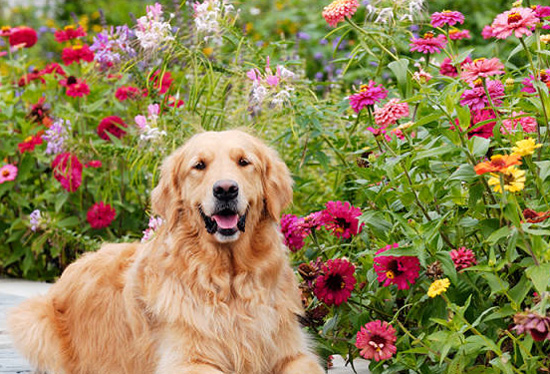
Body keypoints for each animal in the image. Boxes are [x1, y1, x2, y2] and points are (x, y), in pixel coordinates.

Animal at [8, 129, 326, 374]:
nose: (225, 189)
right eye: (199, 165)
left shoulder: (294, 354)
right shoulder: (188, 360)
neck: (229, 278)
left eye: (244, 162)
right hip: (32, 321)